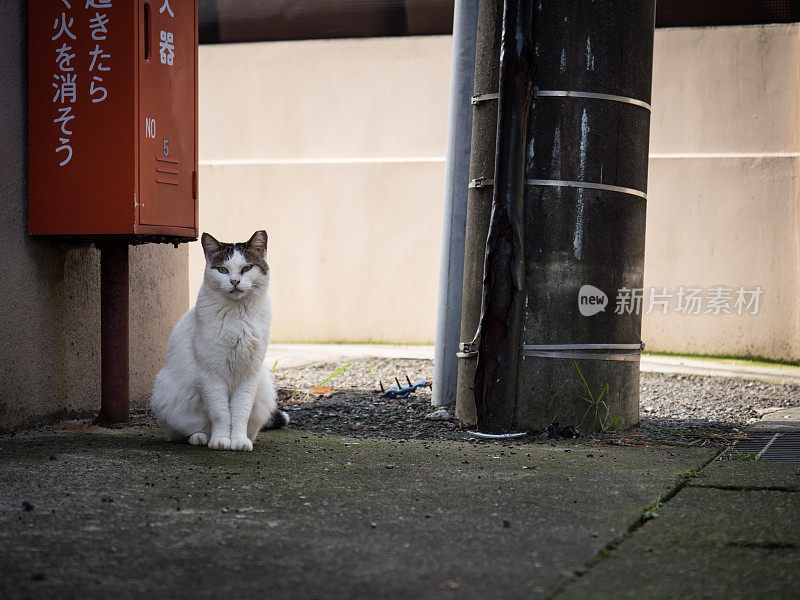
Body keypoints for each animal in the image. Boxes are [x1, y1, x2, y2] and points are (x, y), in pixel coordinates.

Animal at [150, 230, 288, 450]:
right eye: (223, 270)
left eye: (246, 268)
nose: (234, 281)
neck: (237, 314)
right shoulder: (211, 373)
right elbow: (221, 413)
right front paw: (221, 440)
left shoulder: (249, 374)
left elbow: (240, 412)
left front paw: (238, 440)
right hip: (166, 392)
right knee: (181, 432)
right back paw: (201, 437)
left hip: (264, 386)